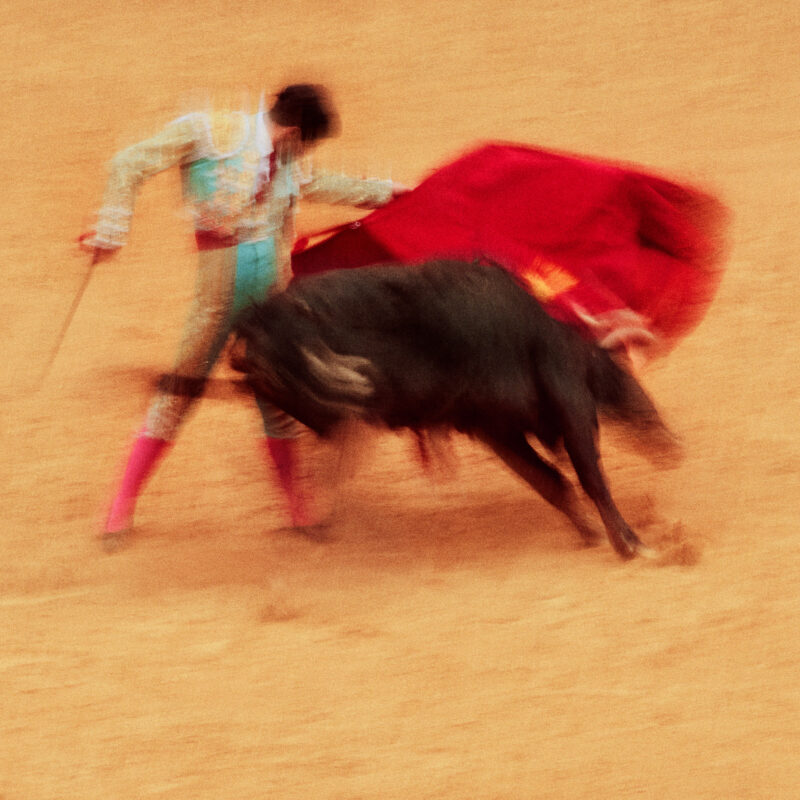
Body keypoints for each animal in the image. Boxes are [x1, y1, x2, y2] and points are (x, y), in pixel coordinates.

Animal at [231, 260, 680, 560]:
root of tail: (263, 320)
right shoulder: (570, 406)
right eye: (624, 376)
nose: (672, 446)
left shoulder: (496, 429)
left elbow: (551, 482)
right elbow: (591, 479)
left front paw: (593, 535)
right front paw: (632, 544)